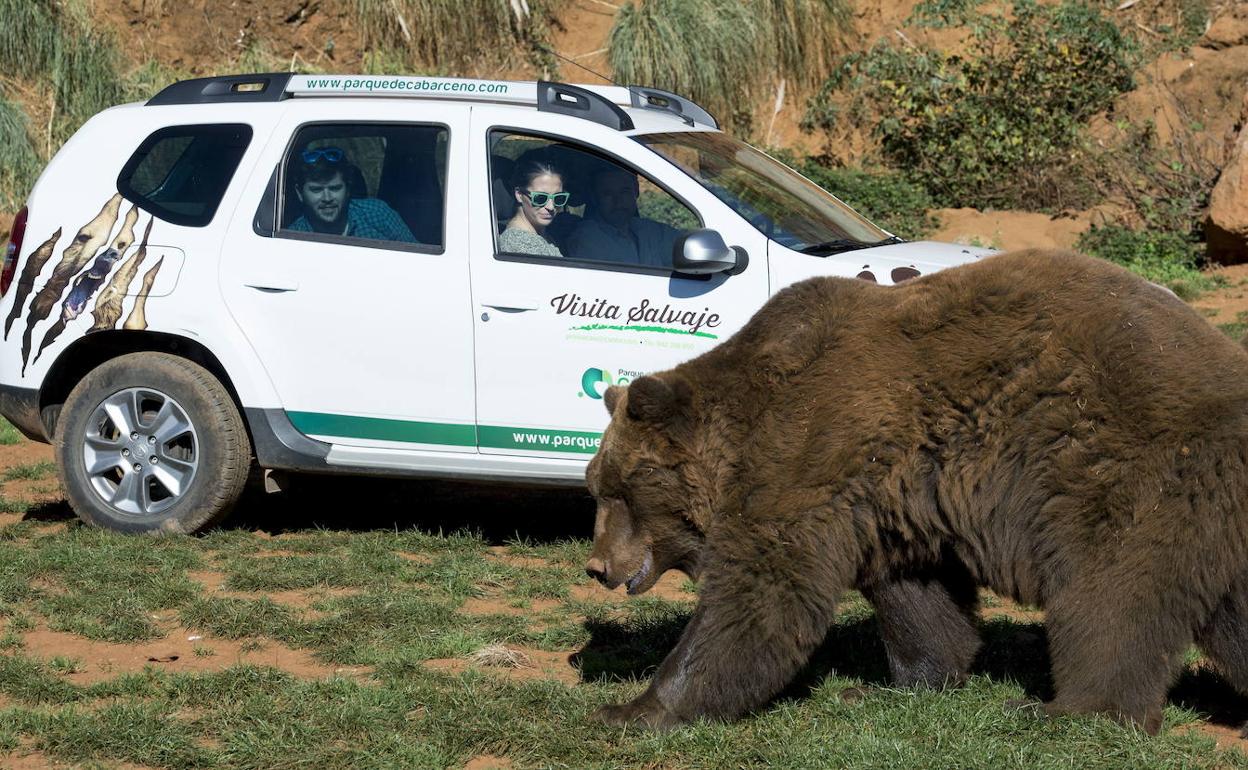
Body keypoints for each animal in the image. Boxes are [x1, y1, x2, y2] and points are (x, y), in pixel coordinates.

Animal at [581, 248, 1248, 733]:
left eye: (618, 488)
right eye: (596, 485)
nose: (597, 566)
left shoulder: (807, 453)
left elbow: (759, 596)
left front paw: (634, 709)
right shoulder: (892, 492)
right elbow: (918, 596)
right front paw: (896, 683)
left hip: (1127, 468)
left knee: (1111, 593)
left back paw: (1066, 710)